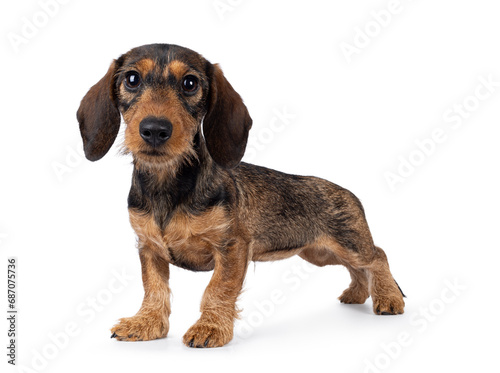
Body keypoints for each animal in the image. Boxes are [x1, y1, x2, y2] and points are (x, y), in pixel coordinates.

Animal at [77, 44, 406, 348]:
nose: (155, 129)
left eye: (189, 83)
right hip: (320, 254)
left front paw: (210, 328)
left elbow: (217, 289)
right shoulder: (149, 247)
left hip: (348, 245)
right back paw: (357, 293)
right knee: (359, 269)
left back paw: (389, 298)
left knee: (377, 256)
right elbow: (154, 288)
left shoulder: (232, 247)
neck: (167, 185)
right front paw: (146, 323)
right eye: (131, 79)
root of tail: (349, 193)